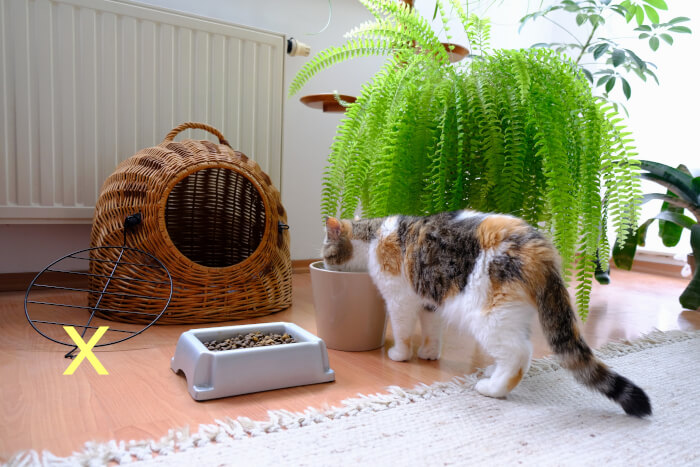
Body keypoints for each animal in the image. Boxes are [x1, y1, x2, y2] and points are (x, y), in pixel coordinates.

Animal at [322, 211, 652, 416]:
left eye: (325, 250)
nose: (321, 264)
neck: (374, 235)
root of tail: (540, 249)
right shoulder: (430, 300)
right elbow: (431, 330)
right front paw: (429, 353)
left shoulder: (399, 299)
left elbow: (403, 330)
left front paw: (400, 355)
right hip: (513, 314)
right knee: (518, 352)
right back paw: (493, 372)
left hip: (490, 317)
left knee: (519, 355)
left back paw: (493, 388)